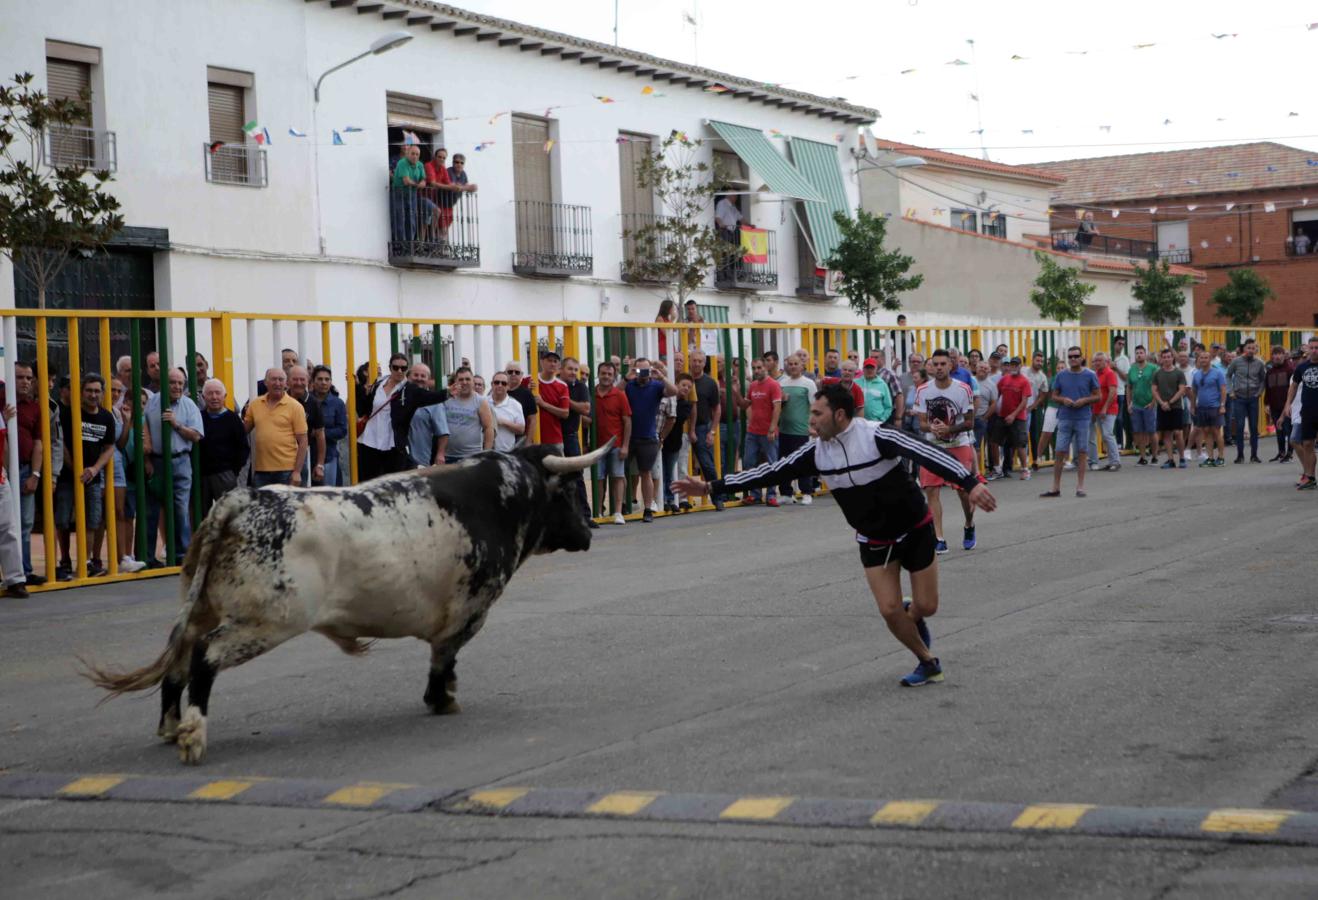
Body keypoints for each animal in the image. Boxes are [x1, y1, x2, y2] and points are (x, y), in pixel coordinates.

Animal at [85, 440, 608, 764]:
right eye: (572, 490)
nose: (588, 531)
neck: (501, 498)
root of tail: (244, 500)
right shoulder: (467, 613)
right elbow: (444, 658)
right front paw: (442, 698)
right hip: (265, 622)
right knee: (204, 657)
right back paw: (194, 735)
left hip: (204, 609)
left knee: (177, 663)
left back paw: (171, 727)